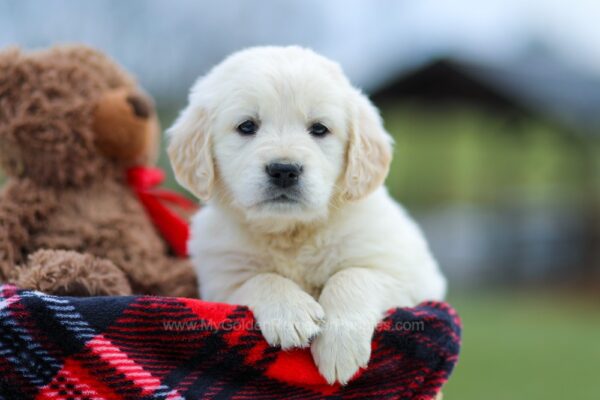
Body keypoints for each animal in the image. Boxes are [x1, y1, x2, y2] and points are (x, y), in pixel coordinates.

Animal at [168, 44, 446, 384]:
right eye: (247, 126)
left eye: (319, 129)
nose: (284, 170)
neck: (292, 232)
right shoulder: (220, 282)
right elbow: (261, 278)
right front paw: (290, 313)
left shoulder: (410, 277)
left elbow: (353, 275)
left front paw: (340, 346)